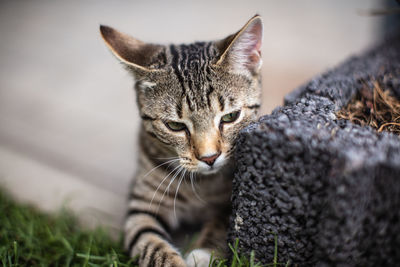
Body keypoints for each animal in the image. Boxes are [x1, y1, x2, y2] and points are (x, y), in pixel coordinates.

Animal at [99, 15, 262, 266]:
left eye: (230, 117)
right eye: (175, 126)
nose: (210, 158)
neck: (201, 185)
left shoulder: (235, 201)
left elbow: (223, 224)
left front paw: (204, 253)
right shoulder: (141, 208)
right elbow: (148, 243)